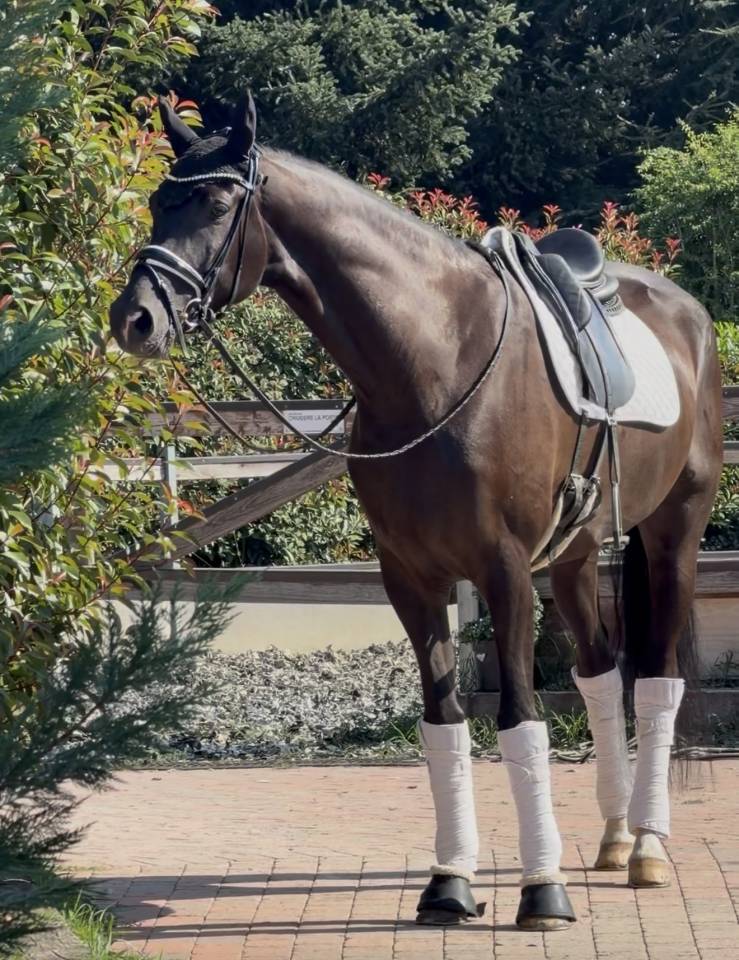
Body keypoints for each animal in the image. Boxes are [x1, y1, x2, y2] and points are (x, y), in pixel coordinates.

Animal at [109, 95, 723, 932]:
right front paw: (449, 883)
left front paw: (540, 891)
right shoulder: (409, 576)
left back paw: (649, 850)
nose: (134, 318)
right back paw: (614, 838)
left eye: (212, 202)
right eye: (155, 202)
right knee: (600, 677)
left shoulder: (502, 572)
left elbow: (519, 720)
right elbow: (443, 723)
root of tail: (686, 312)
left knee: (657, 680)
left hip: (671, 537)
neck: (434, 360)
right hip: (573, 557)